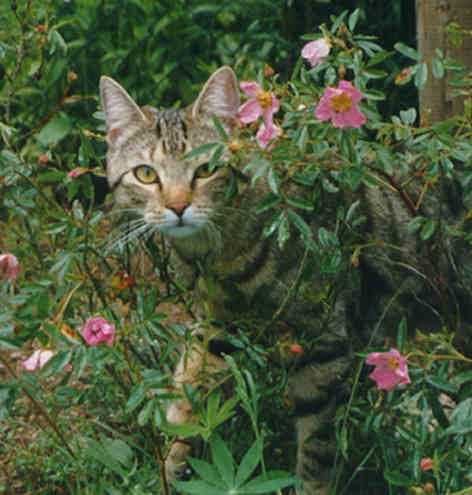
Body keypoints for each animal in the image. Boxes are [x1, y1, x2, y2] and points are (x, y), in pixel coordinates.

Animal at [99, 67, 472, 495]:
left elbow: (316, 452)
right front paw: (174, 461)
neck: (217, 253)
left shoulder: (325, 351)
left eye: (206, 169)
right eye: (145, 174)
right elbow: (187, 393)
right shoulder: (216, 327)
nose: (178, 206)